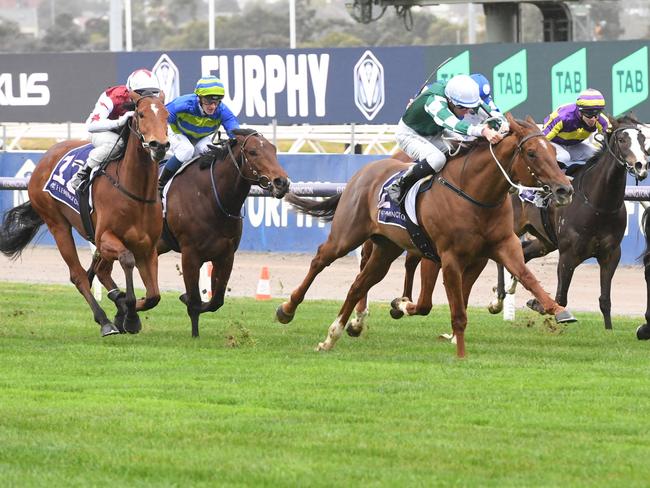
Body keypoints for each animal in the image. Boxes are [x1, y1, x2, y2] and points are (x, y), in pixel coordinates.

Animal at [0, 90, 170, 336]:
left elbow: (154, 296)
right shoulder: (105, 237)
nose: (160, 145)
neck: (134, 191)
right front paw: (127, 313)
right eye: (140, 113)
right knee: (79, 275)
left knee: (100, 271)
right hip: (57, 224)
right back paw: (105, 320)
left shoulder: (148, 248)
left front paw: (128, 311)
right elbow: (126, 259)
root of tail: (45, 157)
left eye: (167, 115)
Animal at [154, 127, 288, 338]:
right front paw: (194, 331)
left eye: (274, 150)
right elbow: (194, 300)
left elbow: (216, 300)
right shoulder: (190, 254)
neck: (210, 197)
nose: (282, 182)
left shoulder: (225, 255)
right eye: (253, 152)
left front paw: (188, 300)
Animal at [274, 114, 572, 358]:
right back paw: (287, 309)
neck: (474, 195)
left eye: (553, 150)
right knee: (320, 260)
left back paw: (332, 336)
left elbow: (527, 277)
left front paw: (557, 309)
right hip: (347, 234)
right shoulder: (447, 257)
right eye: (532, 153)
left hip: (386, 249)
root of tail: (361, 173)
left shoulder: (498, 248)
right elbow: (457, 312)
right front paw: (460, 354)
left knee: (358, 284)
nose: (564, 189)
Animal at [488, 114, 644, 328]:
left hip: (546, 241)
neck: (599, 206)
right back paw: (498, 298)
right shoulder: (568, 254)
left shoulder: (611, 254)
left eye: (643, 139)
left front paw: (608, 330)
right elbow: (561, 297)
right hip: (511, 228)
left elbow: (605, 301)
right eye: (622, 139)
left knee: (524, 253)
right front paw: (548, 309)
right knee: (501, 257)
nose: (641, 165)